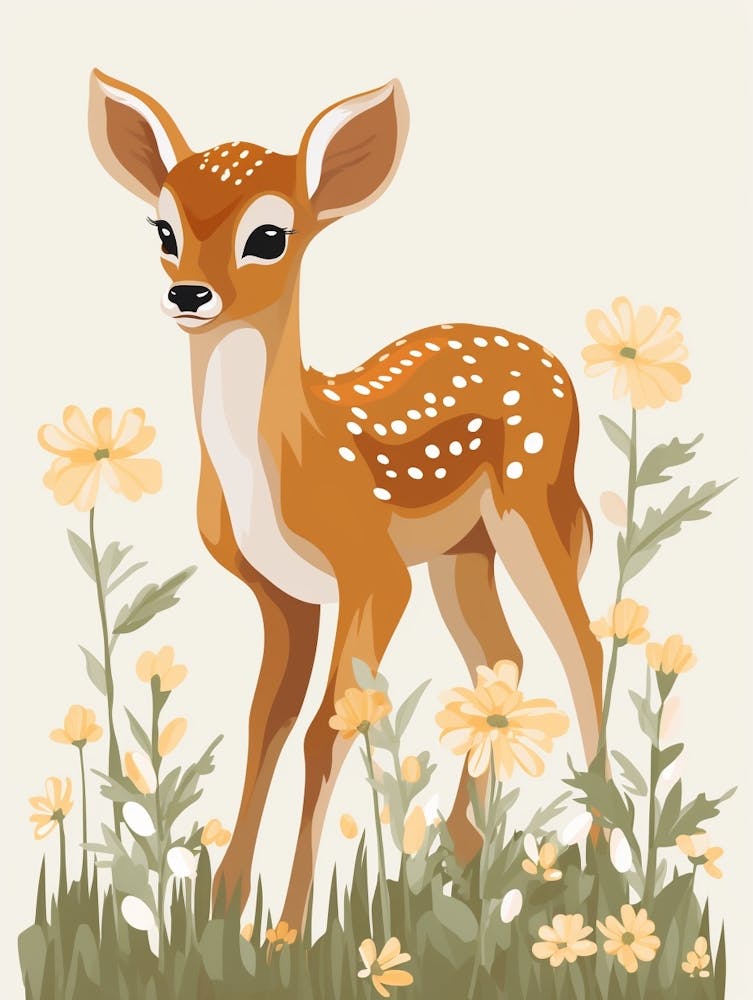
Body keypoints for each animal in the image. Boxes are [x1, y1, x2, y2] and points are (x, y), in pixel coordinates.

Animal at [88, 69, 602, 927]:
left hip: (529, 508)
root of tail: (551, 362)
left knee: (582, 647)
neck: (288, 459)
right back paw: (466, 849)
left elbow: (327, 731)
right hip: (460, 552)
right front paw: (223, 908)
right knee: (499, 654)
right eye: (162, 228)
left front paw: (287, 929)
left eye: (269, 235)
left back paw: (599, 852)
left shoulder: (372, 572)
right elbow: (265, 723)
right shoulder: (280, 593)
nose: (189, 293)